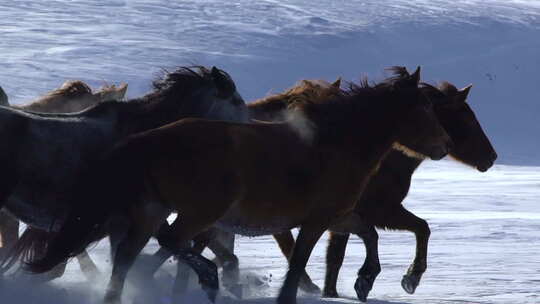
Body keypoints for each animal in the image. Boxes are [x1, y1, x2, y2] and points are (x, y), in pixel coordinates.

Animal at [27, 66, 454, 304]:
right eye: (424, 108)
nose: (445, 145)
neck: (334, 143)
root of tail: (147, 139)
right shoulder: (314, 221)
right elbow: (298, 266)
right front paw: (403, 279)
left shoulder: (337, 216)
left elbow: (373, 234)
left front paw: (370, 281)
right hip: (198, 212)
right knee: (169, 243)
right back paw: (208, 276)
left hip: (152, 211)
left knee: (129, 261)